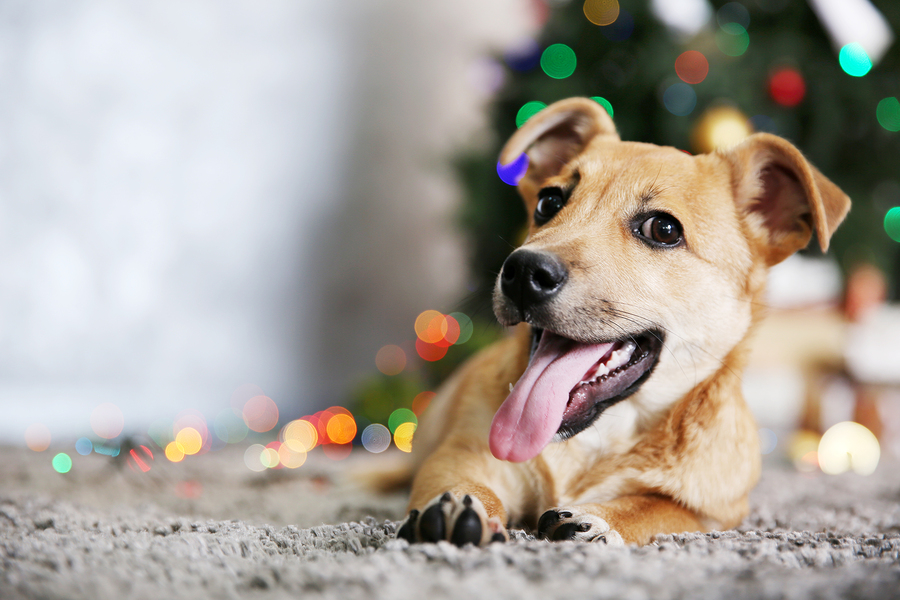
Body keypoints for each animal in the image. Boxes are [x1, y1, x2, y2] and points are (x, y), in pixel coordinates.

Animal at [396, 97, 852, 548]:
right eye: (548, 202)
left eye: (663, 229)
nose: (523, 273)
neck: (598, 436)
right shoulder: (459, 455)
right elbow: (462, 482)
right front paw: (459, 505)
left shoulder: (716, 511)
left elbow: (656, 507)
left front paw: (597, 520)